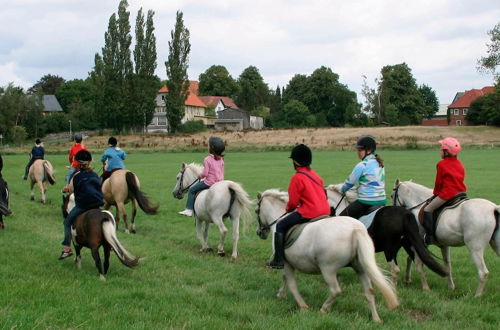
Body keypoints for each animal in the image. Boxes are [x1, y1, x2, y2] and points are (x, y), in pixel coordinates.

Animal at [256, 189, 396, 324]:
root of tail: (355, 229)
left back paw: (324, 309)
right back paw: (376, 319)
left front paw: (302, 306)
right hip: (360, 268)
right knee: (369, 292)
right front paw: (281, 294)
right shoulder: (288, 263)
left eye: (257, 211)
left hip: (328, 269)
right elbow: (285, 278)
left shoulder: (286, 263)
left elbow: (291, 284)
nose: (259, 232)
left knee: (336, 290)